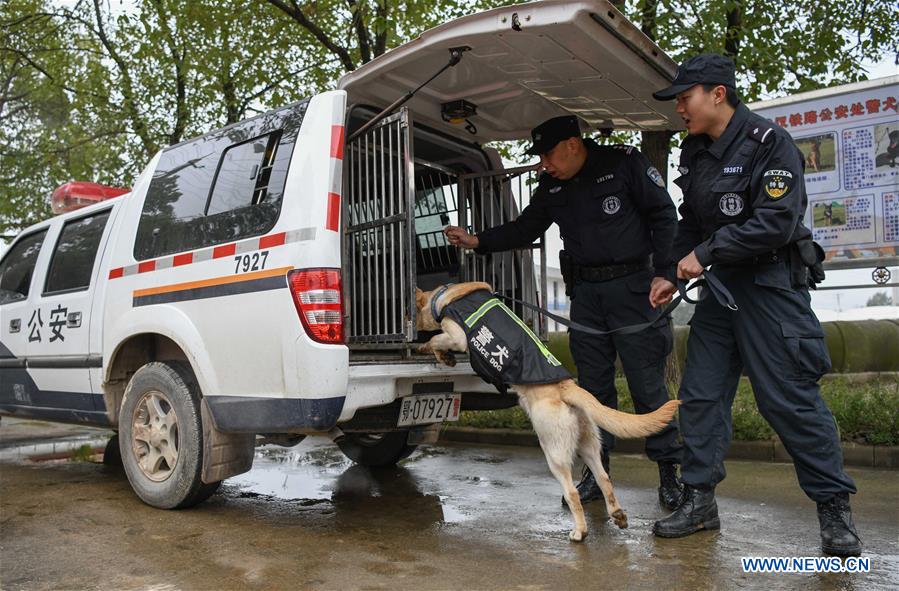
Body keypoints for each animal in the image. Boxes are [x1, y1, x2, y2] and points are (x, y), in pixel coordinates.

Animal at [418, 284, 680, 544]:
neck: (445, 295)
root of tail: (568, 387)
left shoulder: (457, 337)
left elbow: (436, 339)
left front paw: (428, 347)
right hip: (588, 446)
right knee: (604, 478)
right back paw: (618, 515)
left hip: (554, 453)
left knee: (572, 493)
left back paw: (580, 531)